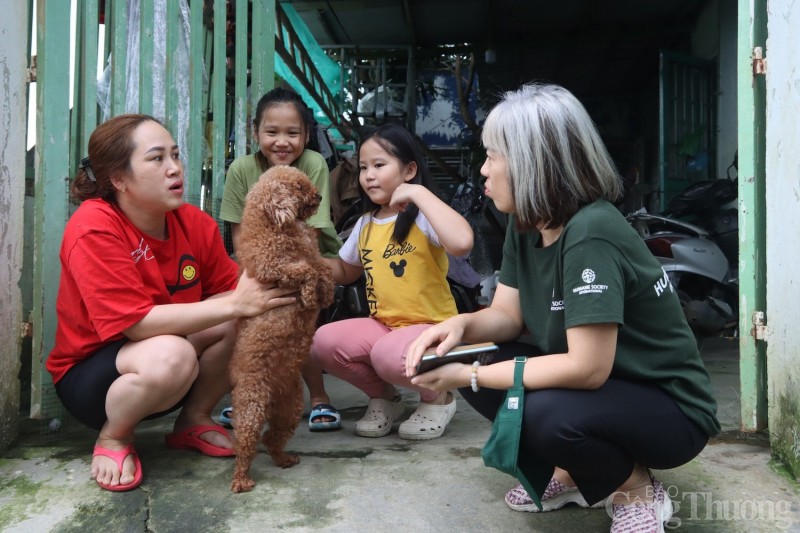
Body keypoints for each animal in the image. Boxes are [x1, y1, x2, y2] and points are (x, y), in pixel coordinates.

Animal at [228, 165, 334, 490]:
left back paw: (284, 459)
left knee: (272, 439)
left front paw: (324, 296)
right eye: (298, 188)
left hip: (290, 409)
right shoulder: (272, 266)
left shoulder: (314, 256)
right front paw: (310, 295)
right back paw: (241, 480)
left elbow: (324, 270)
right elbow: (306, 271)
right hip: (251, 406)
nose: (320, 196)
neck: (277, 225)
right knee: (247, 443)